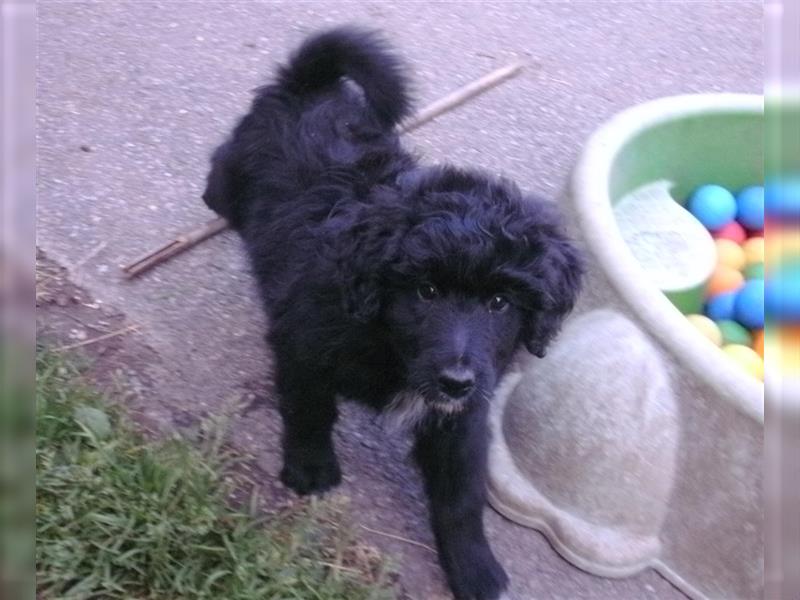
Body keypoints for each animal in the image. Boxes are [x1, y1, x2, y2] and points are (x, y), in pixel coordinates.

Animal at [203, 28, 580, 600]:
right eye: (426, 291)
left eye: (499, 303)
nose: (455, 380)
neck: (389, 345)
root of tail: (310, 87)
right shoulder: (303, 346)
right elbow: (309, 410)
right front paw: (311, 468)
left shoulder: (463, 414)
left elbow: (460, 493)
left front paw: (474, 567)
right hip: (233, 175)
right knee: (219, 170)